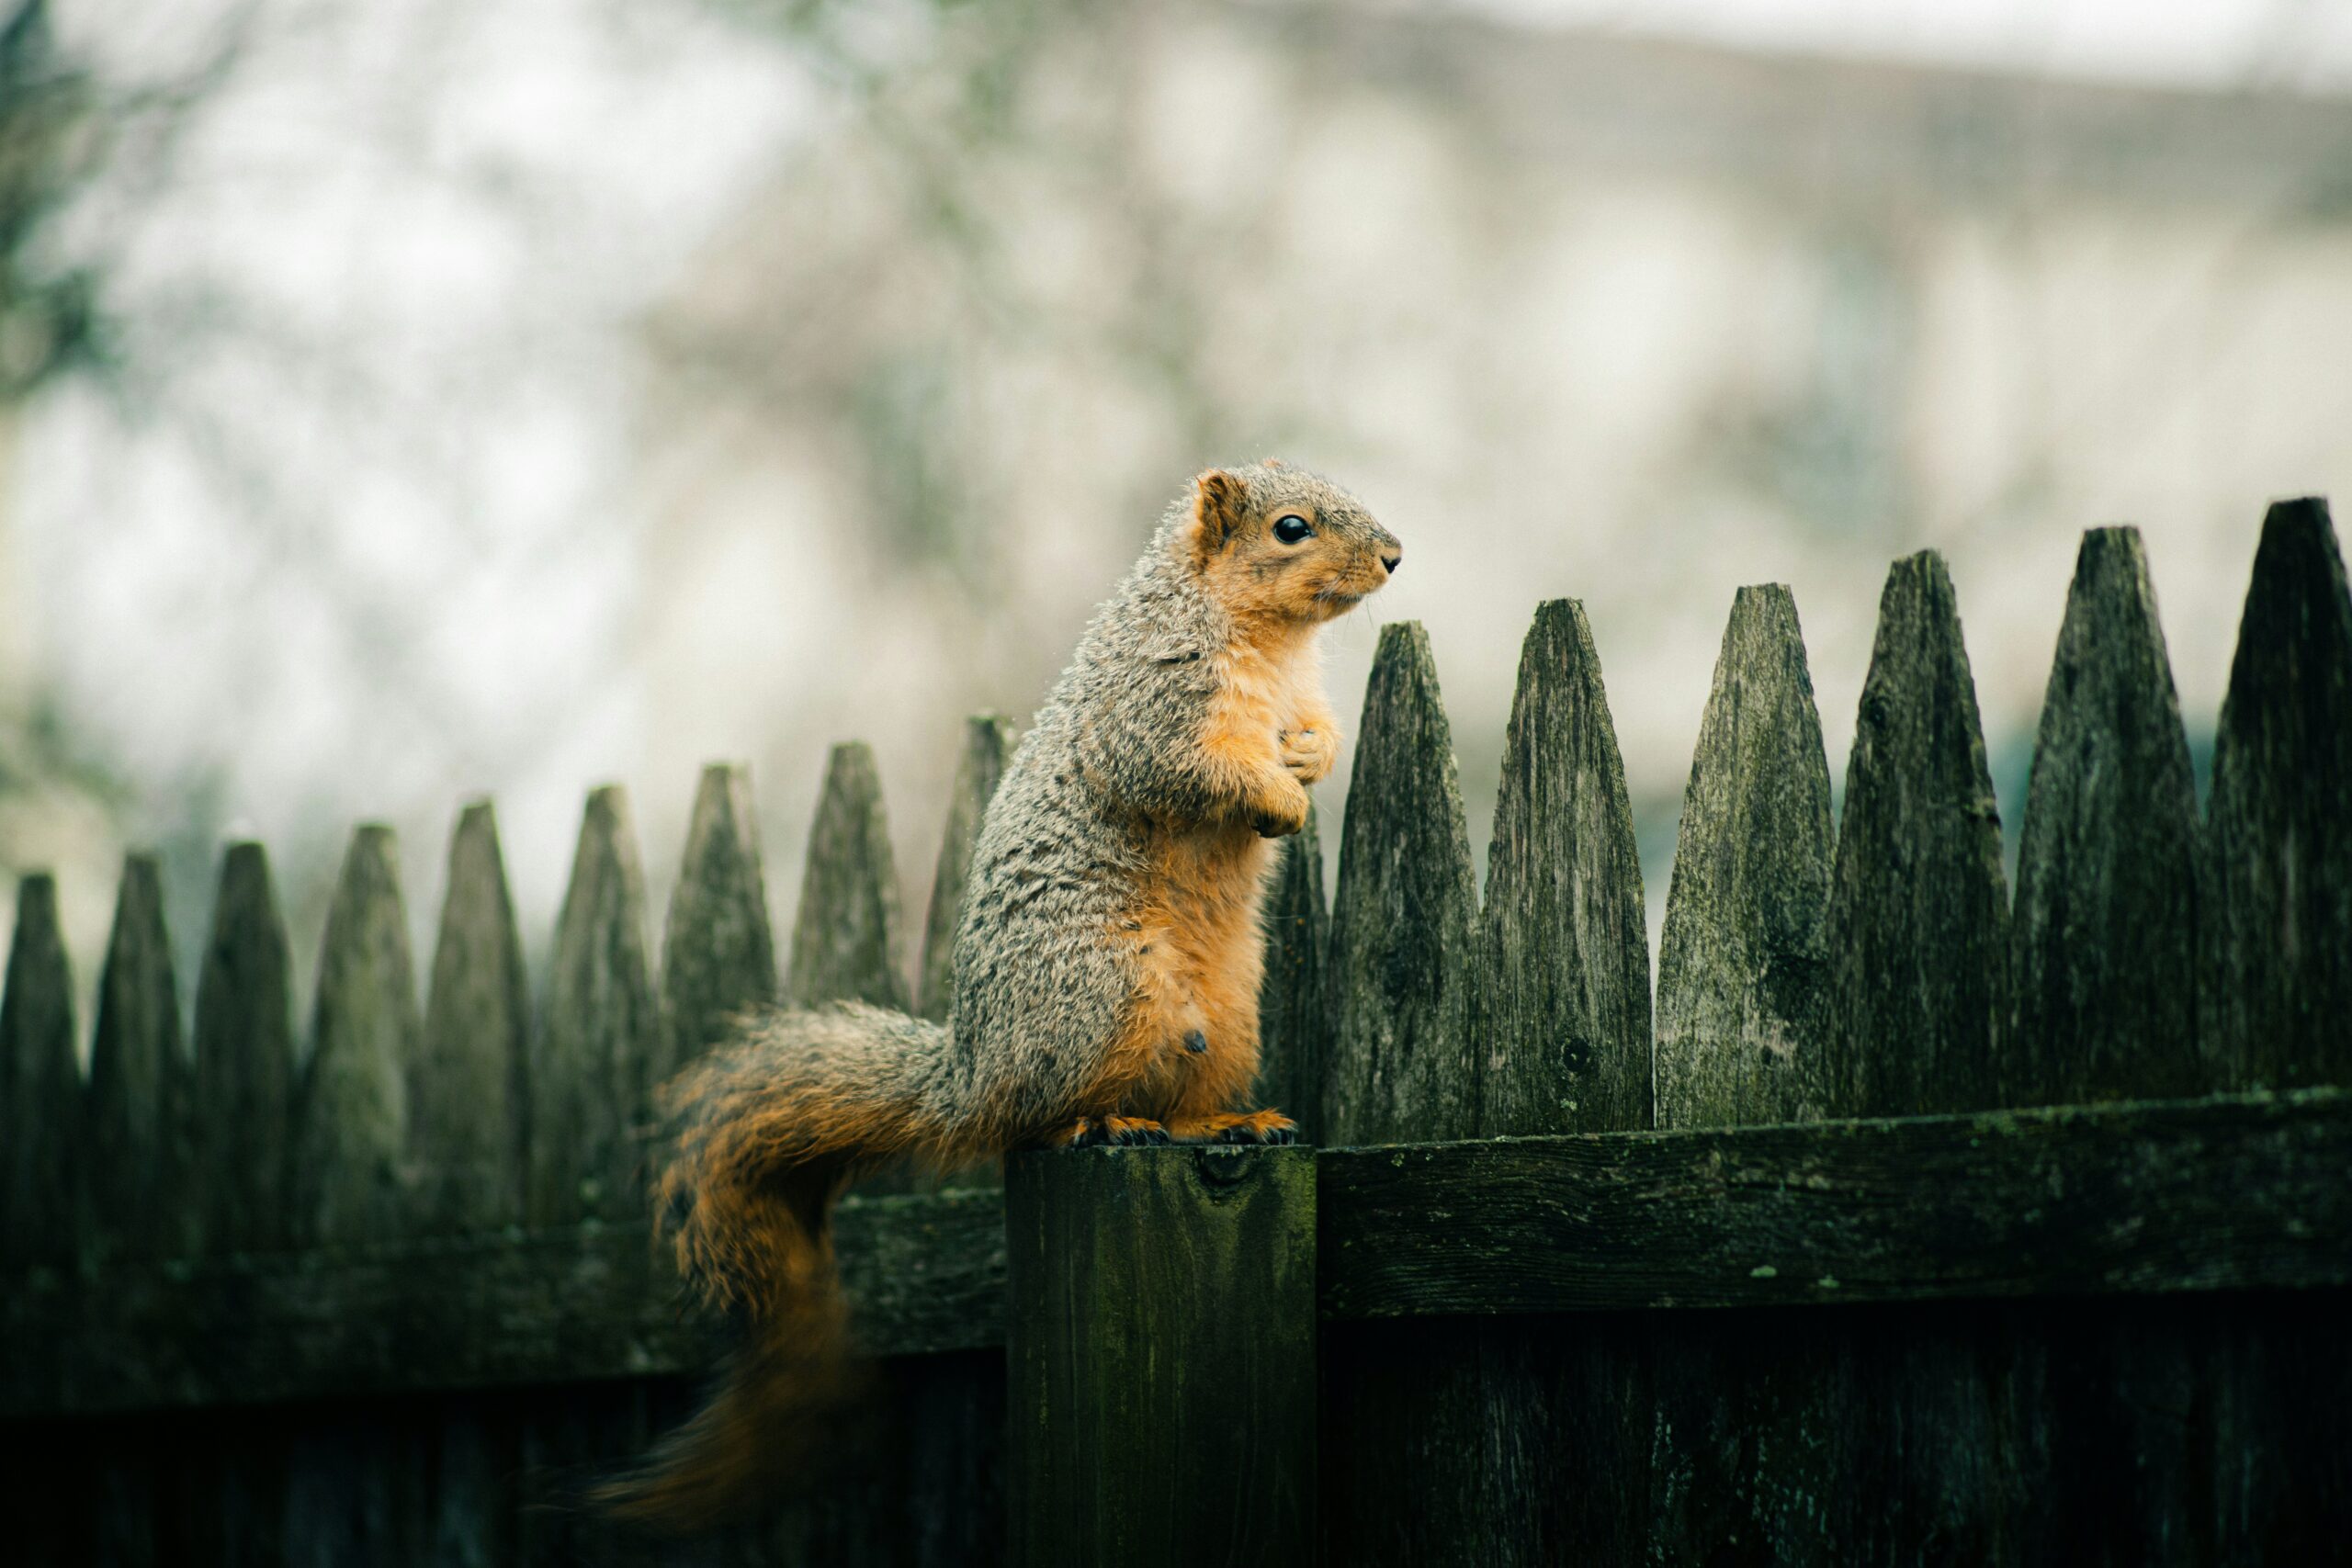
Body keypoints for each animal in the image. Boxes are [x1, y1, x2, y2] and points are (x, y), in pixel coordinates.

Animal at [604, 461, 1401, 1524]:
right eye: (1291, 528)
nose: (1394, 556)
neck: (1268, 643)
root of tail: (973, 1074)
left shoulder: (1293, 696)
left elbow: (1316, 733)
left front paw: (1308, 761)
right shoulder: (1155, 707)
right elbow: (1189, 770)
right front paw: (1276, 799)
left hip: (1226, 1015)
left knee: (1176, 1103)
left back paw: (1226, 1123)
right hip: (1104, 993)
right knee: (1035, 1122)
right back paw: (1100, 1126)